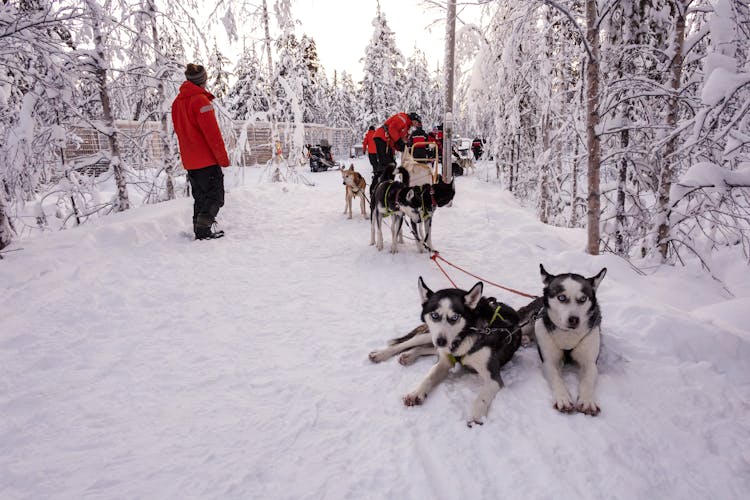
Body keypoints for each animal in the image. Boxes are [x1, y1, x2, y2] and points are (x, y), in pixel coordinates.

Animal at [402, 278, 520, 426]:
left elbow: (481, 397)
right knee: (409, 342)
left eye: (454, 317)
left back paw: (408, 355)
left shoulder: (493, 377)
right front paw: (416, 393)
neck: (465, 335)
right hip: (430, 335)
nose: (441, 341)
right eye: (435, 315)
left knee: (423, 347)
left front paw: (476, 418)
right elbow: (429, 376)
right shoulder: (445, 360)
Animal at [536, 266, 612, 414]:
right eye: (561, 297)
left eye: (583, 299)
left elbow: (587, 380)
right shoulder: (549, 362)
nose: (574, 320)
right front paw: (563, 398)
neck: (568, 336)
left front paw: (587, 401)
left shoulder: (590, 363)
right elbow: (557, 379)